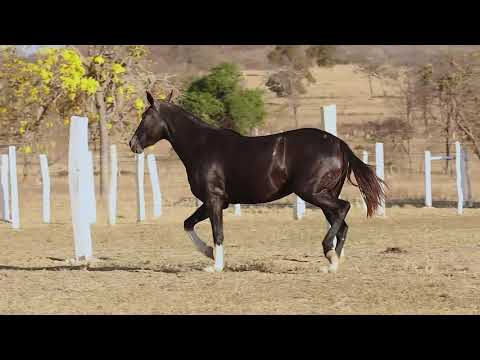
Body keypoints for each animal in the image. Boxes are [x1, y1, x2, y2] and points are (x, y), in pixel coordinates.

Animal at [129, 92, 384, 272]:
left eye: (144, 117)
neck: (201, 146)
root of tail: (339, 144)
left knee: (344, 208)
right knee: (342, 224)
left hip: (312, 193)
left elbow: (217, 232)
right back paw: (332, 263)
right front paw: (209, 253)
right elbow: (187, 223)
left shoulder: (214, 200)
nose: (132, 144)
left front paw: (215, 265)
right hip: (324, 195)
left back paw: (329, 253)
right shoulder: (216, 201)